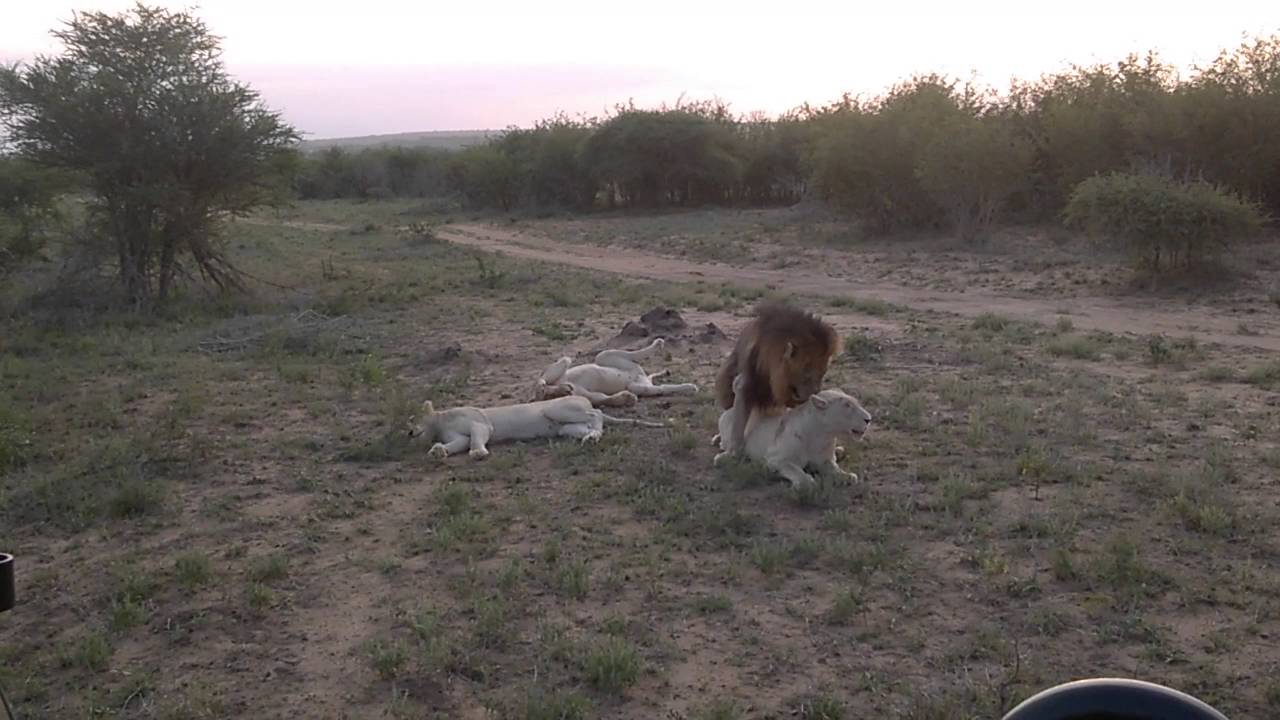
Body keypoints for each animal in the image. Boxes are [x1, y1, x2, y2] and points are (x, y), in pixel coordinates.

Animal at [408, 395, 664, 460]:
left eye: (412, 418)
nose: (409, 432)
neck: (439, 422)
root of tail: (584, 398)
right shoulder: (458, 436)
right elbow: (457, 443)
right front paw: (439, 451)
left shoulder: (480, 424)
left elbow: (477, 438)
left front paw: (478, 452)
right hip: (566, 428)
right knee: (591, 427)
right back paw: (591, 439)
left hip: (557, 409)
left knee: (597, 413)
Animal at [712, 379, 872, 488]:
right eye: (847, 406)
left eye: (856, 402)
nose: (869, 419)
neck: (822, 435)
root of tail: (729, 410)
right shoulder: (777, 459)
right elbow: (796, 470)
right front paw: (807, 483)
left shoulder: (825, 460)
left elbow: (835, 469)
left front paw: (847, 476)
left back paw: (840, 451)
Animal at [714, 302, 839, 458]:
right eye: (806, 372)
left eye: (823, 372)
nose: (814, 392)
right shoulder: (744, 383)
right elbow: (739, 420)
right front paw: (735, 450)